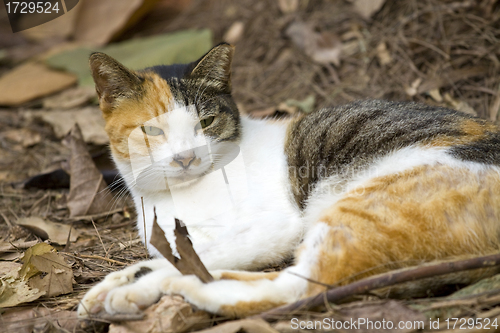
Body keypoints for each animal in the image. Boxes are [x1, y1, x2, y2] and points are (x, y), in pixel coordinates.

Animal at [77, 42, 500, 318]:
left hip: (365, 206)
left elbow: (191, 257)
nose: (186, 157)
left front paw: (133, 286)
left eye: (206, 122)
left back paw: (176, 289)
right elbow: (168, 258)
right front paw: (107, 287)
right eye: (152, 130)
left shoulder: (271, 228)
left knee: (298, 287)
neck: (175, 197)